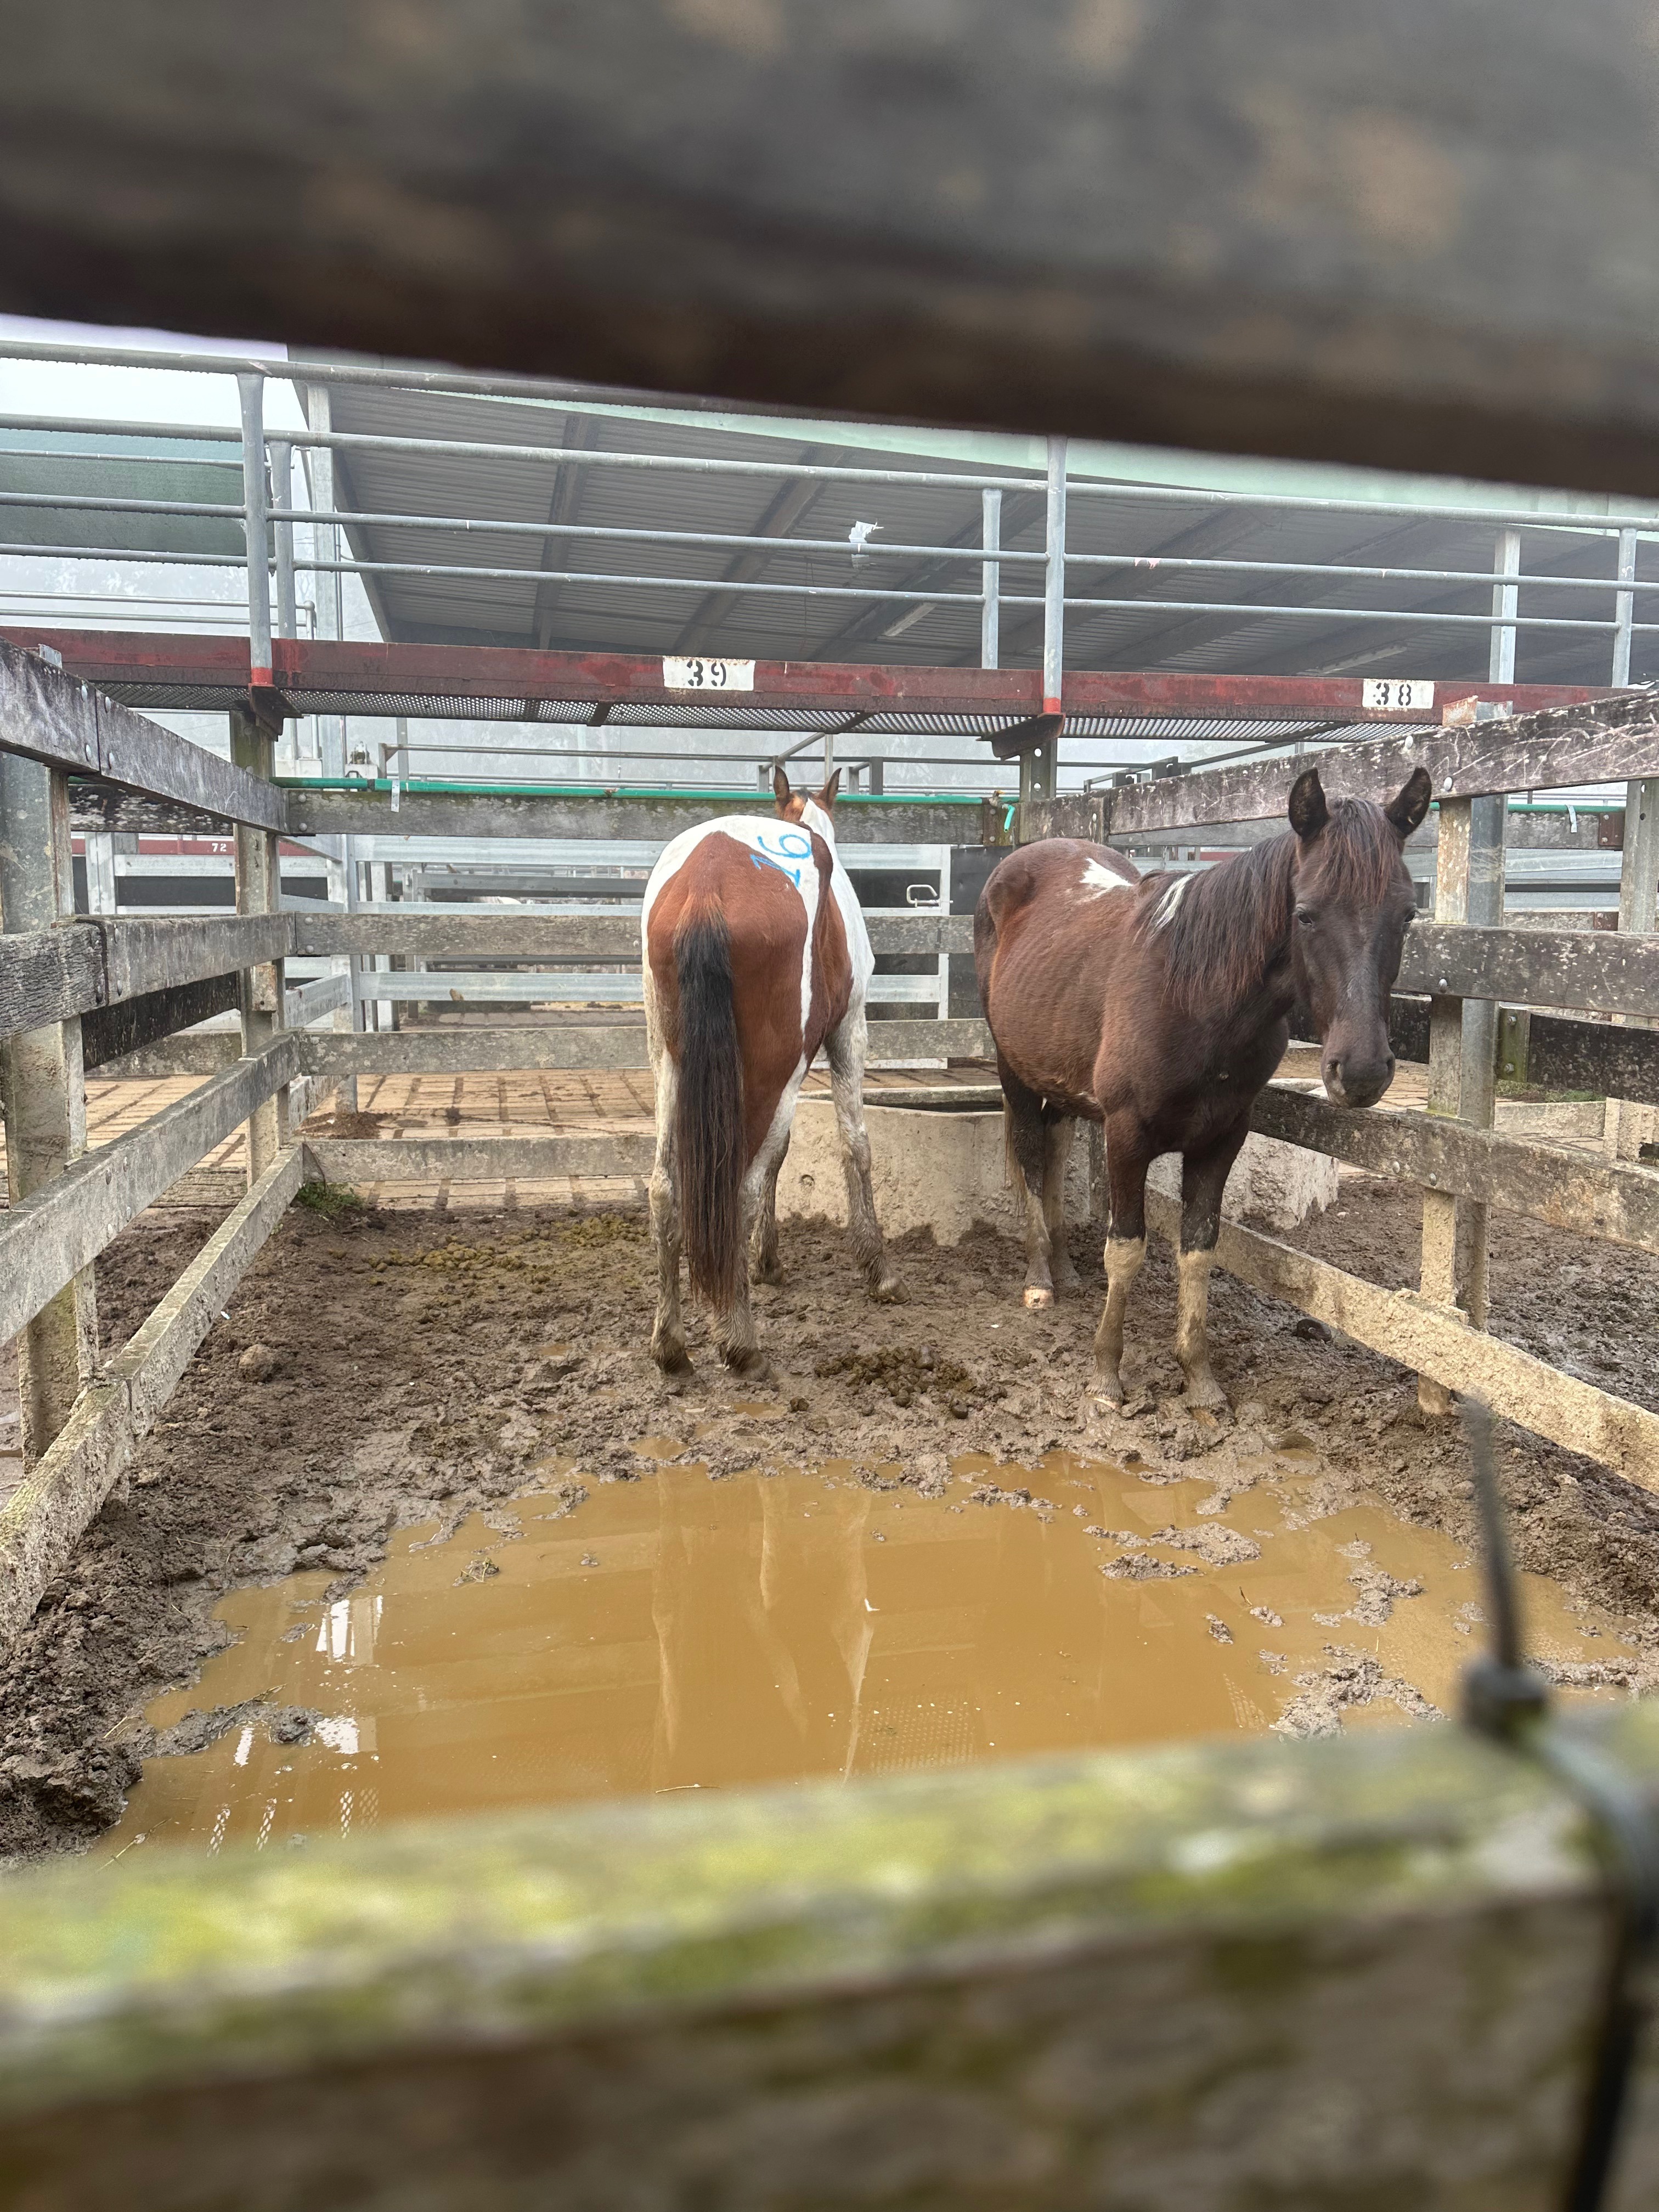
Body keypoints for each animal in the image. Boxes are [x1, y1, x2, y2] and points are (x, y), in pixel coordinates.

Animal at [641, 765, 900, 1378]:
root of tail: (708, 877)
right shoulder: (847, 1031)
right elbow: (854, 1145)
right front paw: (877, 1268)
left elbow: (782, 1154)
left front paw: (768, 1261)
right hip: (773, 1067)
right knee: (740, 1186)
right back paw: (741, 1343)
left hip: (671, 1063)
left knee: (665, 1189)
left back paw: (670, 1344)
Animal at [974, 764, 1431, 1410]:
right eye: (1306, 914)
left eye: (1408, 914)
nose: (1363, 1070)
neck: (1194, 997)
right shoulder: (1126, 1136)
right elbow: (1127, 1249)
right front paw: (1106, 1376)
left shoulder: (1221, 1140)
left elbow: (1198, 1249)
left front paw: (1200, 1378)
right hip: (1013, 1069)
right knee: (1031, 1155)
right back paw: (1040, 1279)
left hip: (1057, 1078)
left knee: (1055, 1152)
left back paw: (1062, 1268)